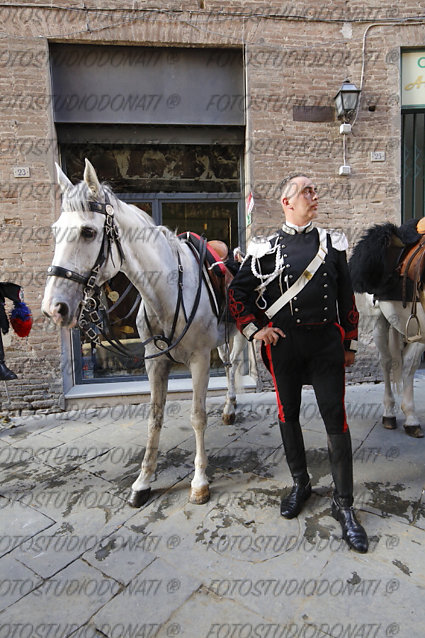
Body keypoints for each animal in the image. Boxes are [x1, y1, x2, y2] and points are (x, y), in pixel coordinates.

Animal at [42, 161, 238, 510]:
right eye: (55, 231)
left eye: (88, 232)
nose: (54, 307)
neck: (168, 290)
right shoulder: (154, 362)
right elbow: (154, 418)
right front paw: (143, 481)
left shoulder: (200, 360)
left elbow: (197, 416)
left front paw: (199, 482)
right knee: (228, 367)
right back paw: (229, 409)